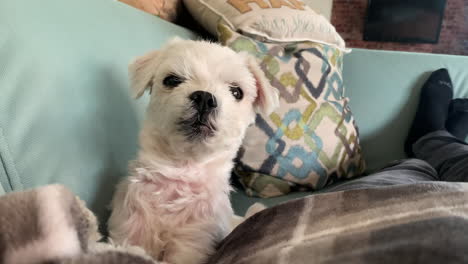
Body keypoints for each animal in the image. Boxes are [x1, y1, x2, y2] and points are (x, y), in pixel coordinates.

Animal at [109, 37, 278, 264]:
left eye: (237, 92)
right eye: (171, 80)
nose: (205, 98)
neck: (182, 170)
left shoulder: (193, 242)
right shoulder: (130, 226)